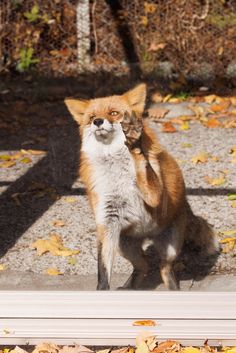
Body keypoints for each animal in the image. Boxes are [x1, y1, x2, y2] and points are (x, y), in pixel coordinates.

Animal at [65, 83, 219, 288]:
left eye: (114, 113)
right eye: (91, 117)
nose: (97, 121)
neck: (117, 170)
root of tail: (145, 235)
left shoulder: (156, 197)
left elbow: (143, 166)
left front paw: (135, 145)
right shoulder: (107, 221)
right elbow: (103, 272)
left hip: (170, 247)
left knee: (164, 267)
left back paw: (172, 287)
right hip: (124, 246)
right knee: (143, 265)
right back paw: (128, 287)